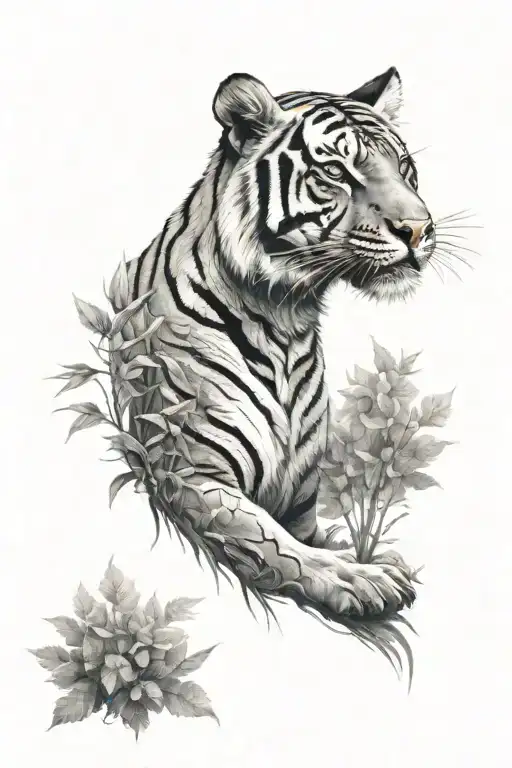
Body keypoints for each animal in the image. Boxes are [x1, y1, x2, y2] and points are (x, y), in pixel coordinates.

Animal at [109, 67, 434, 625]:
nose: (418, 230)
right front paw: (362, 578)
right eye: (336, 171)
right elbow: (278, 545)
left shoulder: (301, 503)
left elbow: (311, 538)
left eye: (405, 168)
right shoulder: (191, 473)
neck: (288, 320)